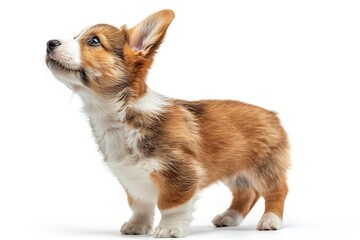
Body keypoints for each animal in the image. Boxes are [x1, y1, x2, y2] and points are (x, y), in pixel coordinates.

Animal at [46, 9, 292, 238]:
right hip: (234, 169)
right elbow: (139, 204)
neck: (118, 116)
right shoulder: (132, 179)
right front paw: (137, 226)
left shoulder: (180, 171)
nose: (49, 43)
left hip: (263, 167)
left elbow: (171, 204)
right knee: (246, 193)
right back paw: (229, 216)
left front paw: (169, 228)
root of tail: (272, 115)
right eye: (77, 37)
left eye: (94, 41)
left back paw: (270, 220)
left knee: (277, 190)